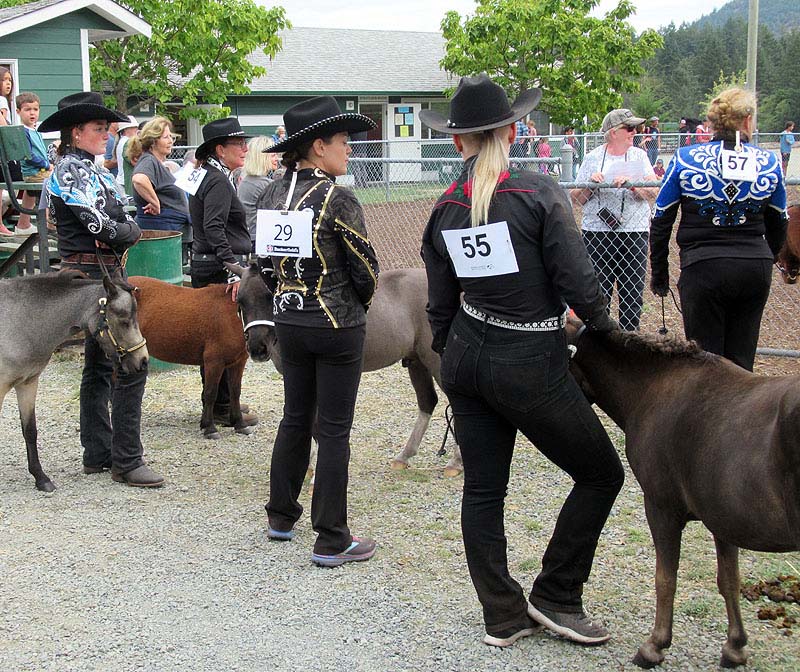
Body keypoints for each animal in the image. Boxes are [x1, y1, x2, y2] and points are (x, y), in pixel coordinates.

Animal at [0, 270, 148, 494]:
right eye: (123, 321)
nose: (143, 360)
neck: (19, 320)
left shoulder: (27, 383)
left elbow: (30, 431)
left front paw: (41, 478)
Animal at [131, 276, 266, 440]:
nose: (260, 348)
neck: (233, 313)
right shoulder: (214, 361)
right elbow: (210, 393)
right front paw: (209, 428)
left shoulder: (238, 362)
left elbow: (235, 391)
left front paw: (239, 424)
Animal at [228, 260, 462, 476]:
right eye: (241, 301)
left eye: (270, 296)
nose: (257, 348)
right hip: (416, 362)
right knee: (427, 401)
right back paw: (404, 456)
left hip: (436, 362)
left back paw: (455, 462)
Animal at [564, 318, 796, 668]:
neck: (653, 386)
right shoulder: (723, 518)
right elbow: (729, 580)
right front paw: (735, 646)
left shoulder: (661, 508)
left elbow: (665, 578)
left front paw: (654, 646)